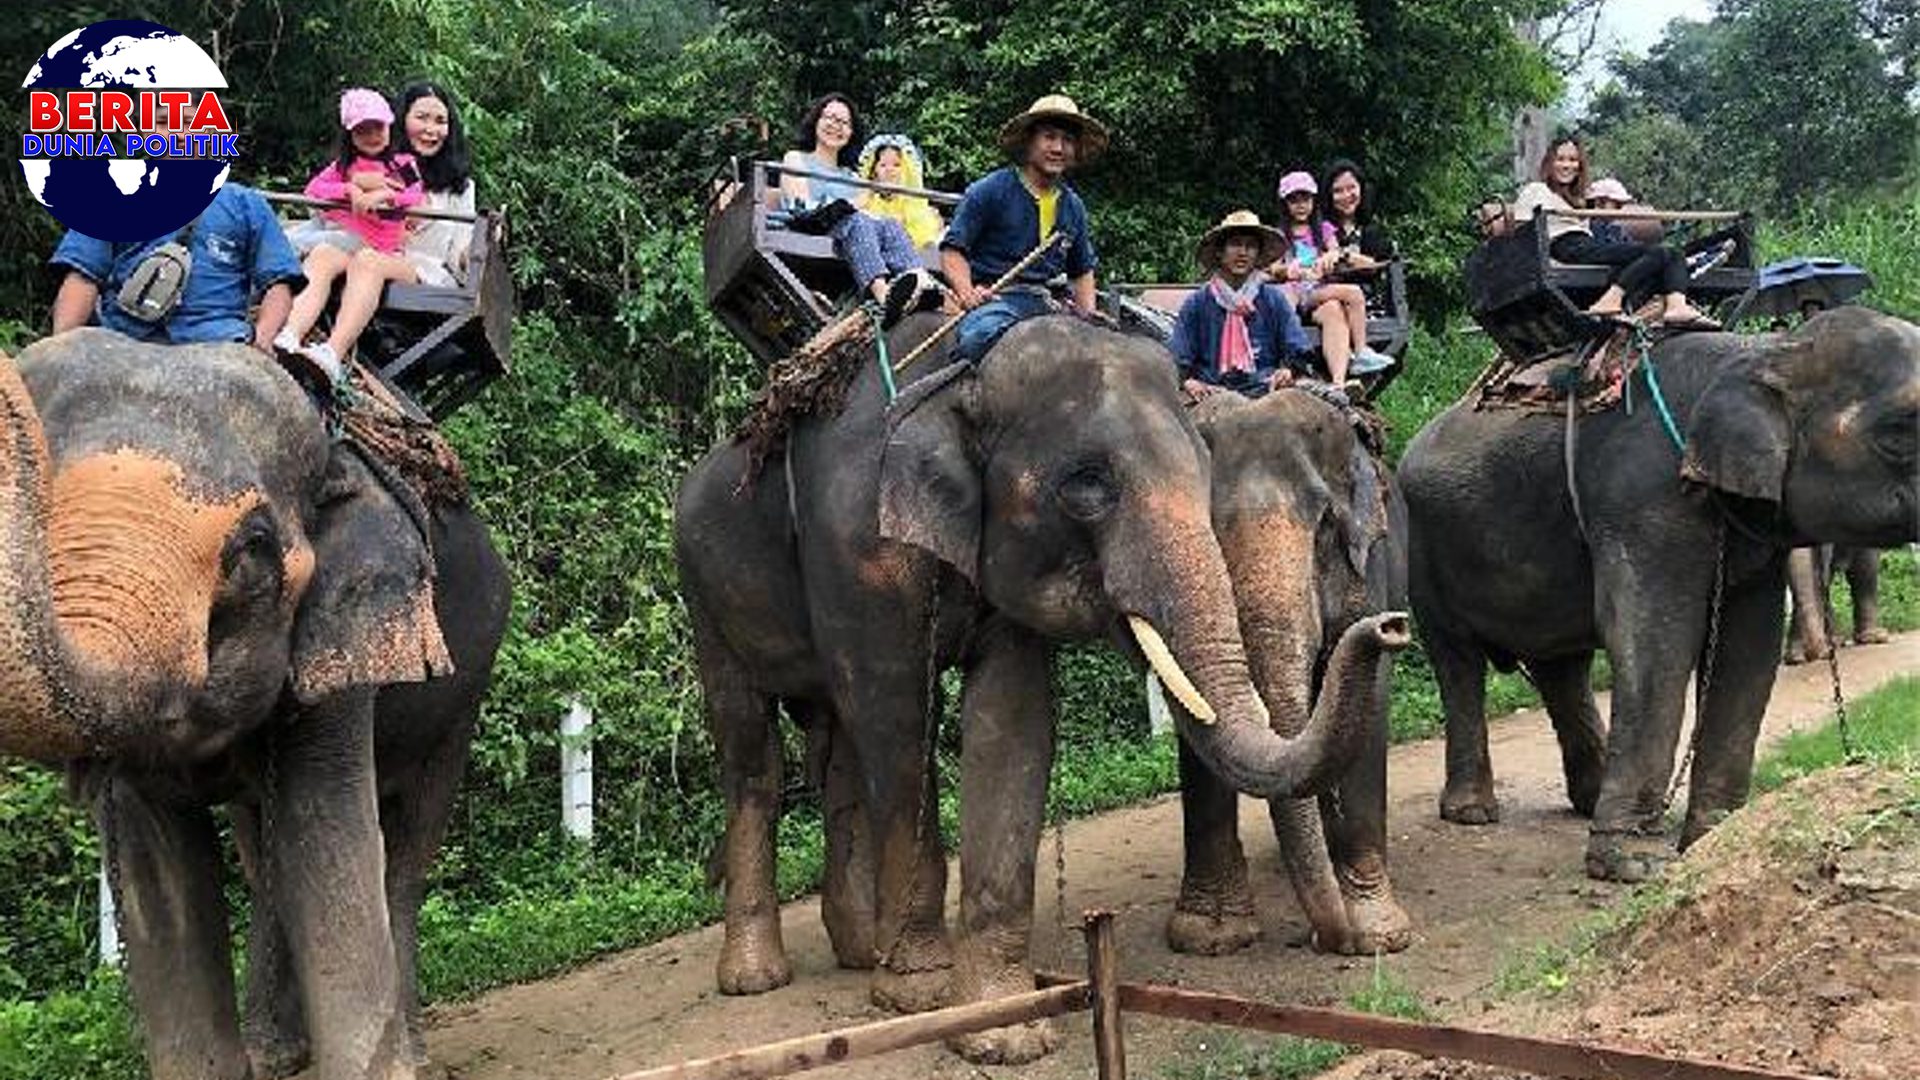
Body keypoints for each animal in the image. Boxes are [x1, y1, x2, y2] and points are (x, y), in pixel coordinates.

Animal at [0, 326, 510, 1076]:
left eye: (252, 551)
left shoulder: (340, 637)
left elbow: (323, 833)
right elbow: (163, 878)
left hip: (464, 694)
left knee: (407, 850)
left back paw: (410, 1049)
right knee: (261, 854)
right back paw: (277, 1054)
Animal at [1159, 386, 1420, 949]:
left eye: (1323, 526)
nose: (1391, 628)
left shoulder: (1370, 568)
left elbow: (1371, 701)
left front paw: (1377, 935)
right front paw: (1210, 938)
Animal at [1397, 307, 1920, 880]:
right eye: (1900, 432)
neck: (1765, 351)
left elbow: (1745, 647)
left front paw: (1714, 842)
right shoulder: (1643, 500)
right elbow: (1655, 639)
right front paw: (1631, 866)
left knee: (1562, 668)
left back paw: (1587, 800)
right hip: (1421, 549)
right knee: (1458, 662)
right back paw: (1471, 812)